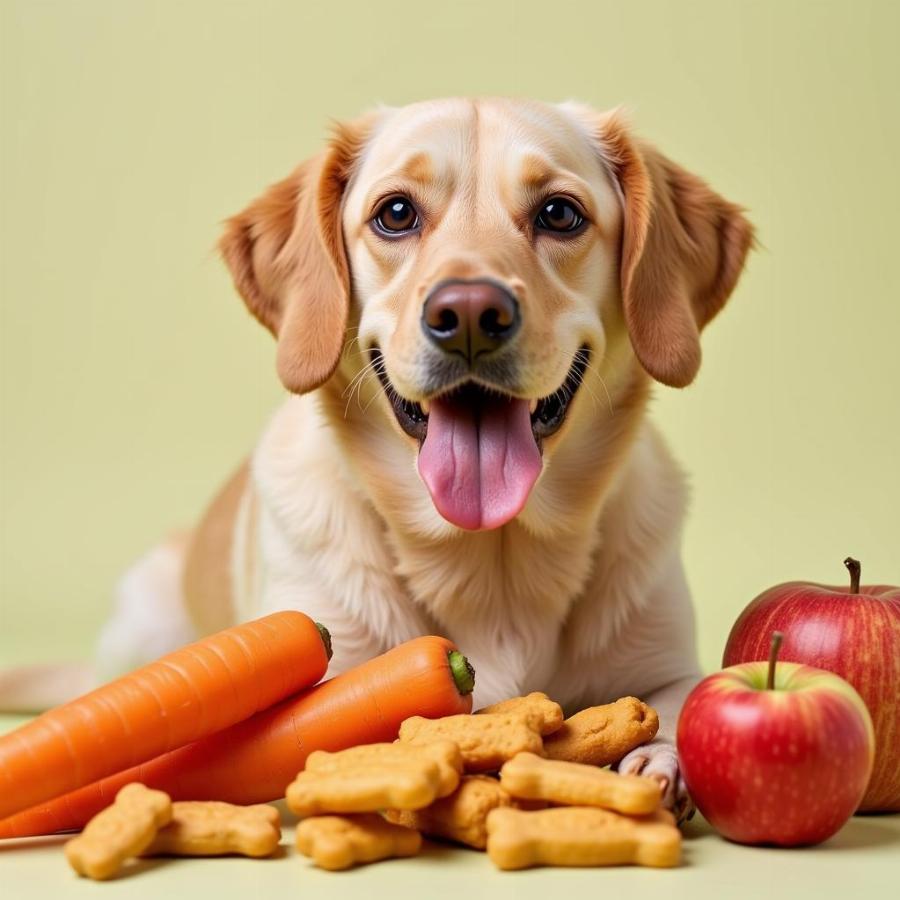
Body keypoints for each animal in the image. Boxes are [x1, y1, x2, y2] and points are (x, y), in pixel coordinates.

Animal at [8, 100, 752, 824]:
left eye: (559, 213)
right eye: (396, 213)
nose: (470, 313)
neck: (491, 562)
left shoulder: (665, 662)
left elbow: (682, 704)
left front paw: (657, 760)